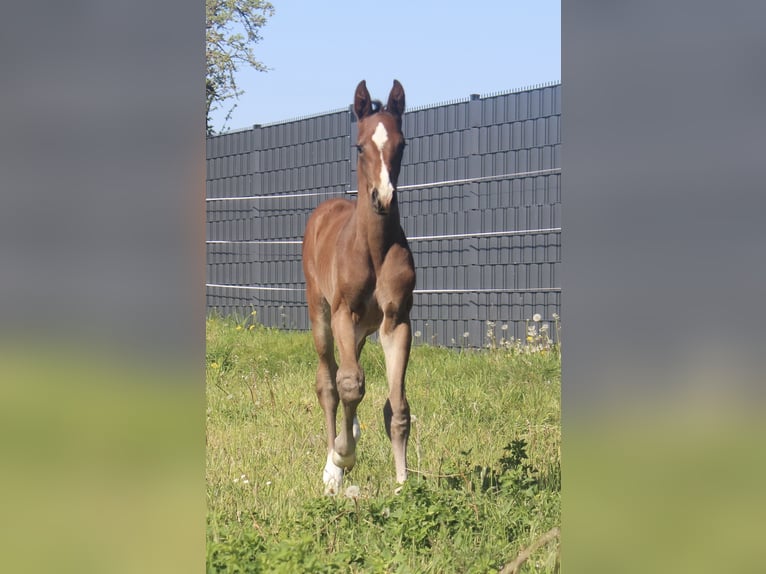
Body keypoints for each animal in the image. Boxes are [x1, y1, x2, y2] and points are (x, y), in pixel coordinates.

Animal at [302, 79, 415, 494]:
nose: (383, 197)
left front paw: (403, 484)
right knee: (329, 382)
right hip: (321, 313)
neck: (374, 248)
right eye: (360, 146)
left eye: (402, 144)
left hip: (364, 328)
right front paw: (342, 458)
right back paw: (332, 465)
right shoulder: (342, 313)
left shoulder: (396, 321)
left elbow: (397, 409)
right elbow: (349, 384)